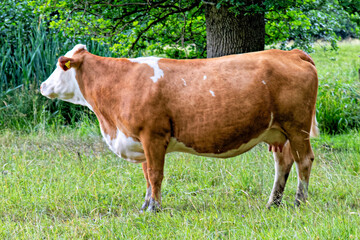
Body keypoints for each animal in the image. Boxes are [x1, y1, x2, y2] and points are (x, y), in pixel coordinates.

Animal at [40, 44, 320, 212]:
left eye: (60, 65)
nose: (42, 85)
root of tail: (290, 52)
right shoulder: (140, 140)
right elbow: (147, 176)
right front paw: (145, 206)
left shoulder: (153, 136)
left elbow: (155, 174)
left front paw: (154, 208)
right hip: (278, 132)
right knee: (283, 163)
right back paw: (273, 203)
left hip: (297, 127)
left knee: (304, 161)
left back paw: (300, 201)